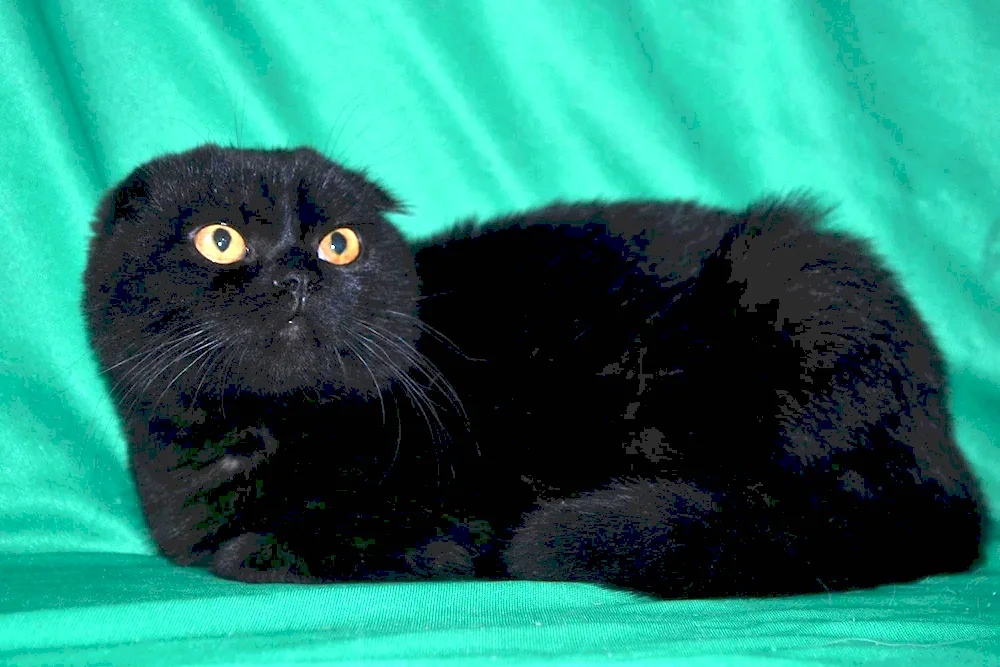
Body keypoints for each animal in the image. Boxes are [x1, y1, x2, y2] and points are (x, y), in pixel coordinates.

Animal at [84, 144, 984, 596]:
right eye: (219, 239)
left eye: (340, 242)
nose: (300, 275)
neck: (263, 433)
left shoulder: (443, 522)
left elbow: (257, 551)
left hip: (786, 279)